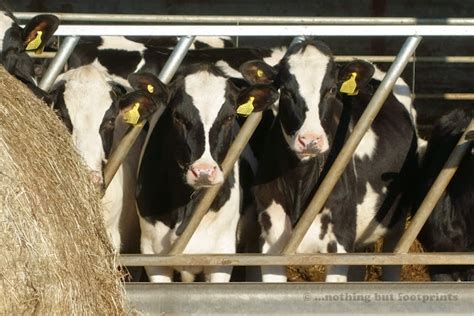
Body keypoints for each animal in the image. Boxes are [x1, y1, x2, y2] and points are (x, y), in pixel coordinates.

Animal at [241, 38, 418, 282]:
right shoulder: (270, 241)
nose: (310, 140)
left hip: (397, 222)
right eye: (285, 91)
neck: (300, 182)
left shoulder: (340, 241)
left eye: (332, 90)